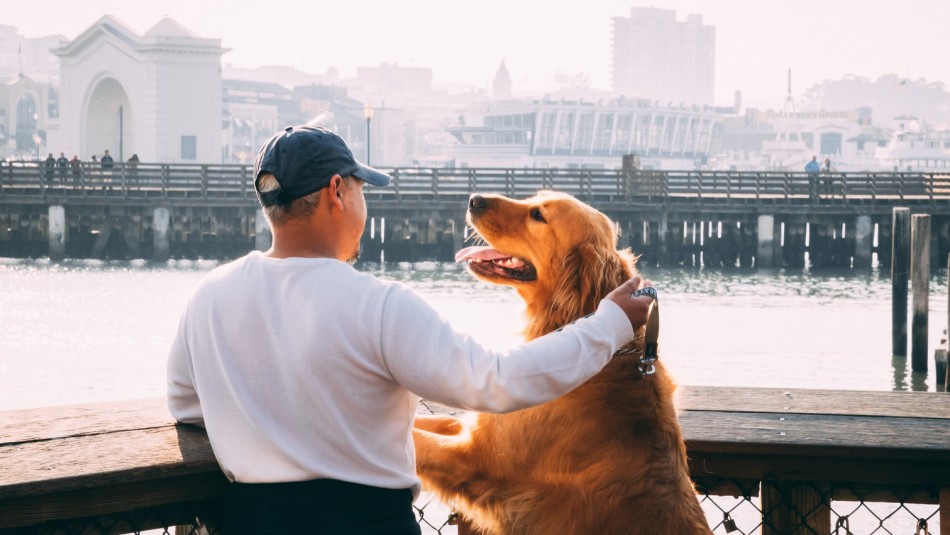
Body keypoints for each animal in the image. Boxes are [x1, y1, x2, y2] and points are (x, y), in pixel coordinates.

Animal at [412, 192, 712, 535]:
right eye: (533, 197)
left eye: (538, 215)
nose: (474, 199)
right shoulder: (474, 430)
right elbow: (426, 423)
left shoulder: (475, 459)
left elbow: (416, 441)